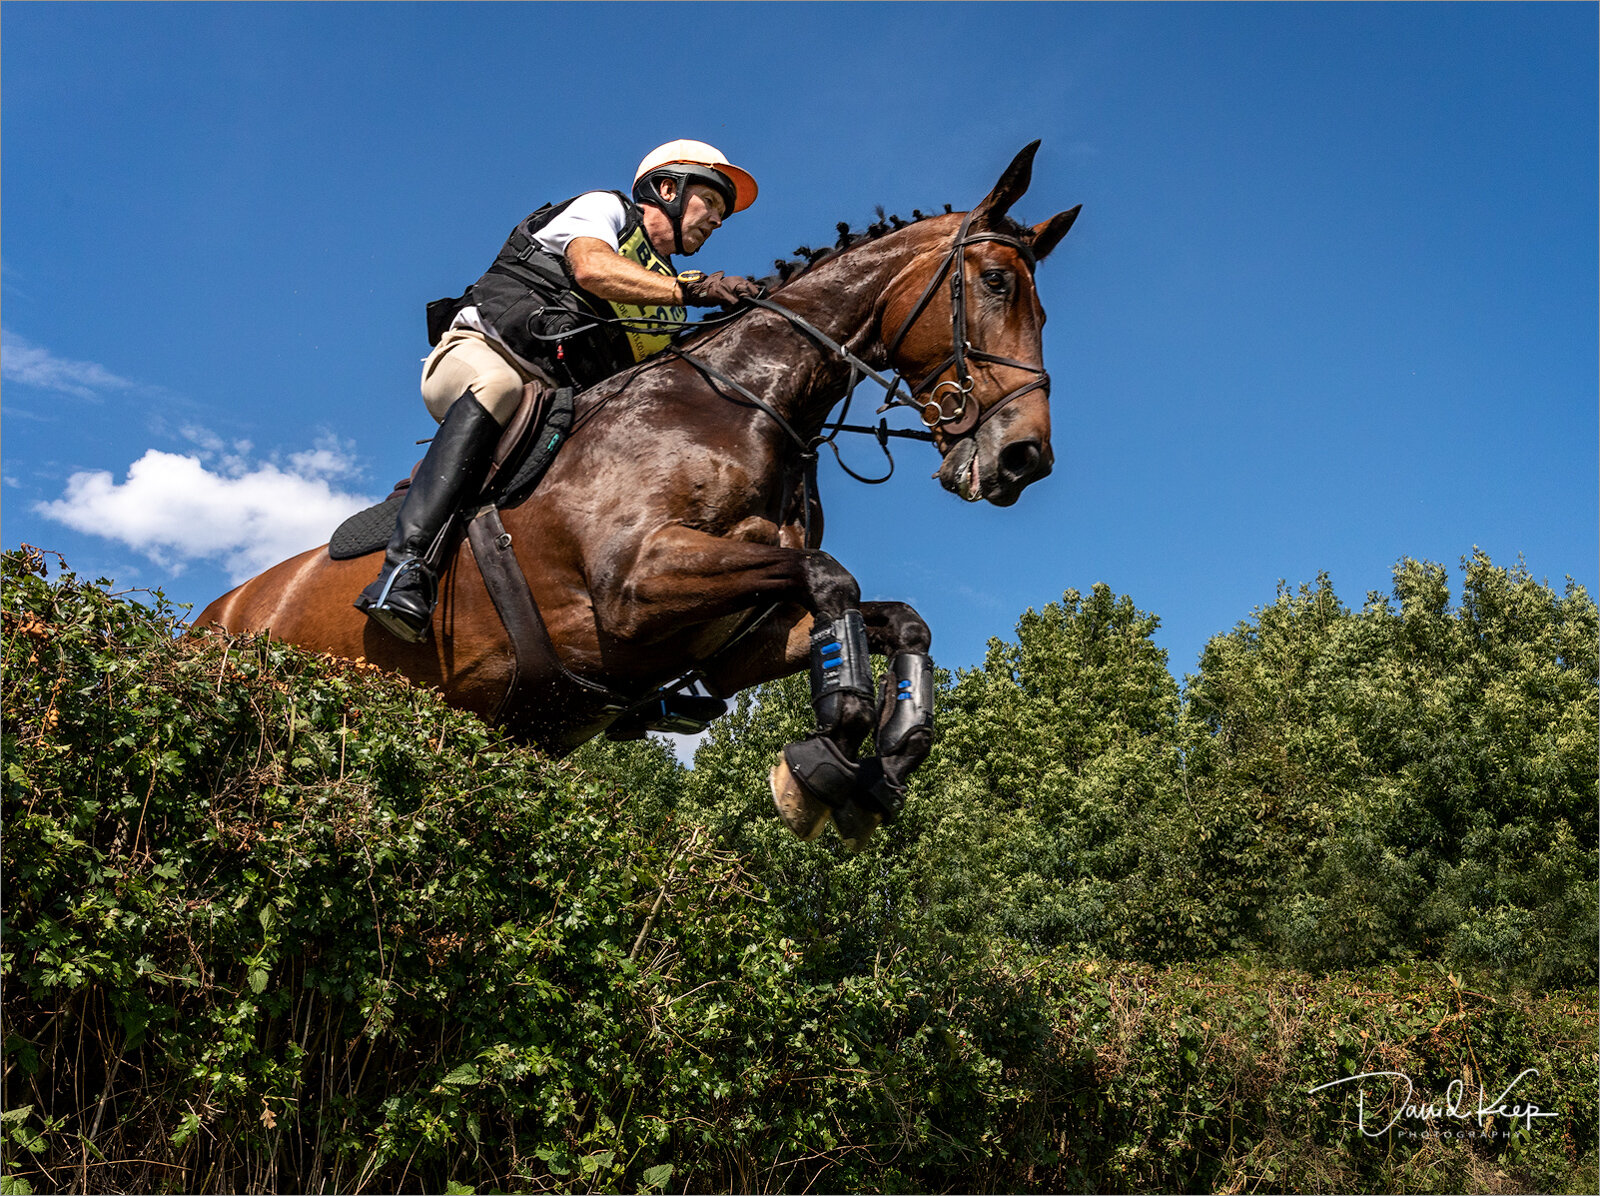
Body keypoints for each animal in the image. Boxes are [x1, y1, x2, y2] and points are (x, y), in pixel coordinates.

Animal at [197, 142, 1080, 847]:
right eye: (996, 284)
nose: (1025, 458)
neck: (745, 405)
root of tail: (217, 614)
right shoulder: (634, 585)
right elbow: (835, 579)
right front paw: (833, 748)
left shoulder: (734, 635)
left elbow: (900, 622)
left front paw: (877, 768)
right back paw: (398, 593)